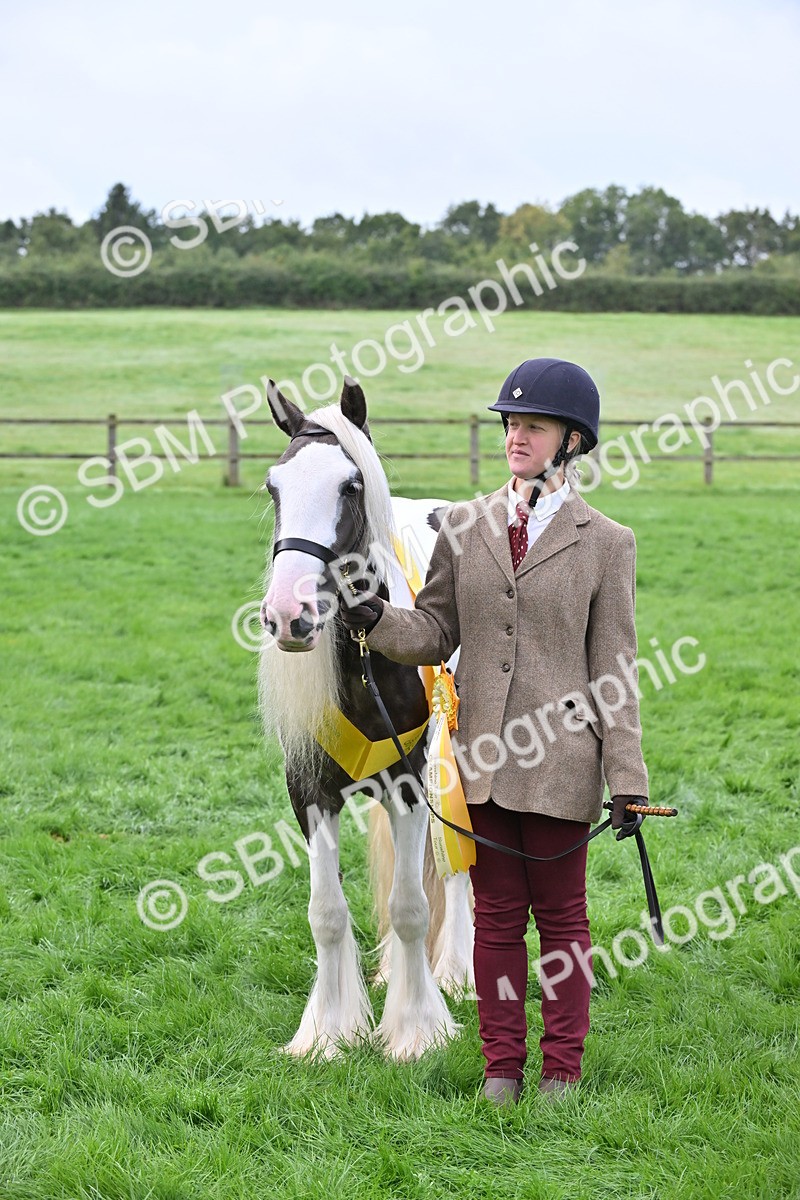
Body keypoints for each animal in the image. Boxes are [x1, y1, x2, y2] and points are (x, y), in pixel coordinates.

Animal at [257, 377, 474, 1061]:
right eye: (274, 486)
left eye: (351, 486)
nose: (288, 613)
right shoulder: (310, 791)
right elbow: (326, 913)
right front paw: (328, 1032)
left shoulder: (409, 785)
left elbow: (410, 907)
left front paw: (416, 1031)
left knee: (459, 870)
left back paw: (456, 972)